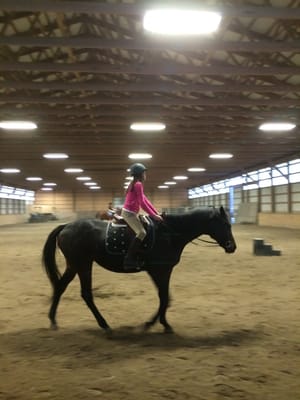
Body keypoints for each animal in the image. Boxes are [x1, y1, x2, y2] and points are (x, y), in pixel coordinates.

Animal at [42, 206, 236, 334]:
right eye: (226, 225)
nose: (232, 247)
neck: (169, 233)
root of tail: (66, 226)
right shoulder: (160, 270)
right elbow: (165, 298)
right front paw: (159, 324)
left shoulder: (159, 271)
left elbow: (166, 298)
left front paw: (155, 323)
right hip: (83, 264)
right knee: (86, 294)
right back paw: (104, 324)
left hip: (74, 265)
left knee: (60, 287)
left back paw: (53, 320)